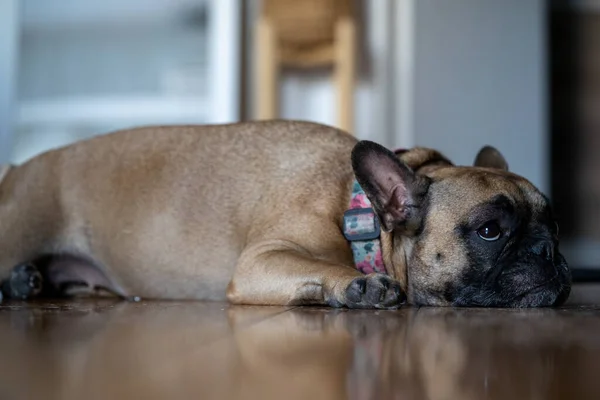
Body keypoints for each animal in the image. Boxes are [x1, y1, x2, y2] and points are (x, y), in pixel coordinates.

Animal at [0, 120, 572, 308]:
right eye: (490, 231)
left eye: (556, 227)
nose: (549, 251)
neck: (358, 210)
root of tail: (17, 166)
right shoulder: (261, 260)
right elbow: (321, 266)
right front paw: (356, 286)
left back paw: (29, 281)